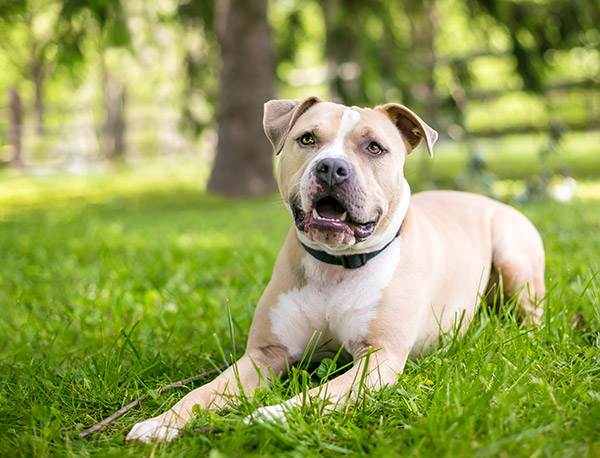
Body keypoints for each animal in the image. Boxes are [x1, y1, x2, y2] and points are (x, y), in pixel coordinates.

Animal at [129, 96, 548, 444]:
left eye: (374, 147)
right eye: (307, 139)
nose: (331, 167)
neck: (336, 266)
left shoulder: (378, 360)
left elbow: (316, 395)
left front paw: (271, 415)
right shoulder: (263, 355)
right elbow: (201, 393)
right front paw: (161, 423)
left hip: (513, 254)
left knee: (532, 313)